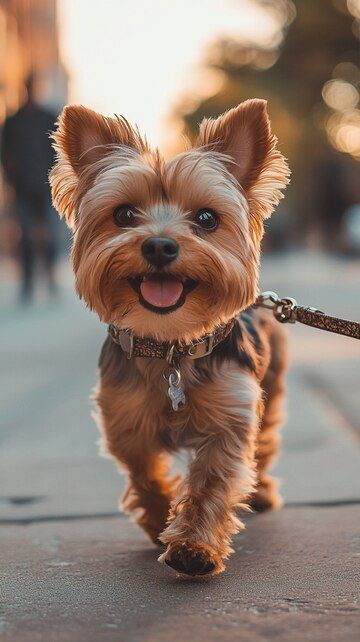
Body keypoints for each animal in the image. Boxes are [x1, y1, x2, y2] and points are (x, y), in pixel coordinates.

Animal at [50, 100, 290, 576]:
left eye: (207, 218)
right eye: (124, 215)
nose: (160, 246)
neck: (171, 346)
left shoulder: (231, 416)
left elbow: (213, 481)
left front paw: (194, 546)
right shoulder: (124, 421)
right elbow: (146, 475)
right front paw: (159, 520)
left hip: (270, 385)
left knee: (266, 438)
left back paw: (263, 492)